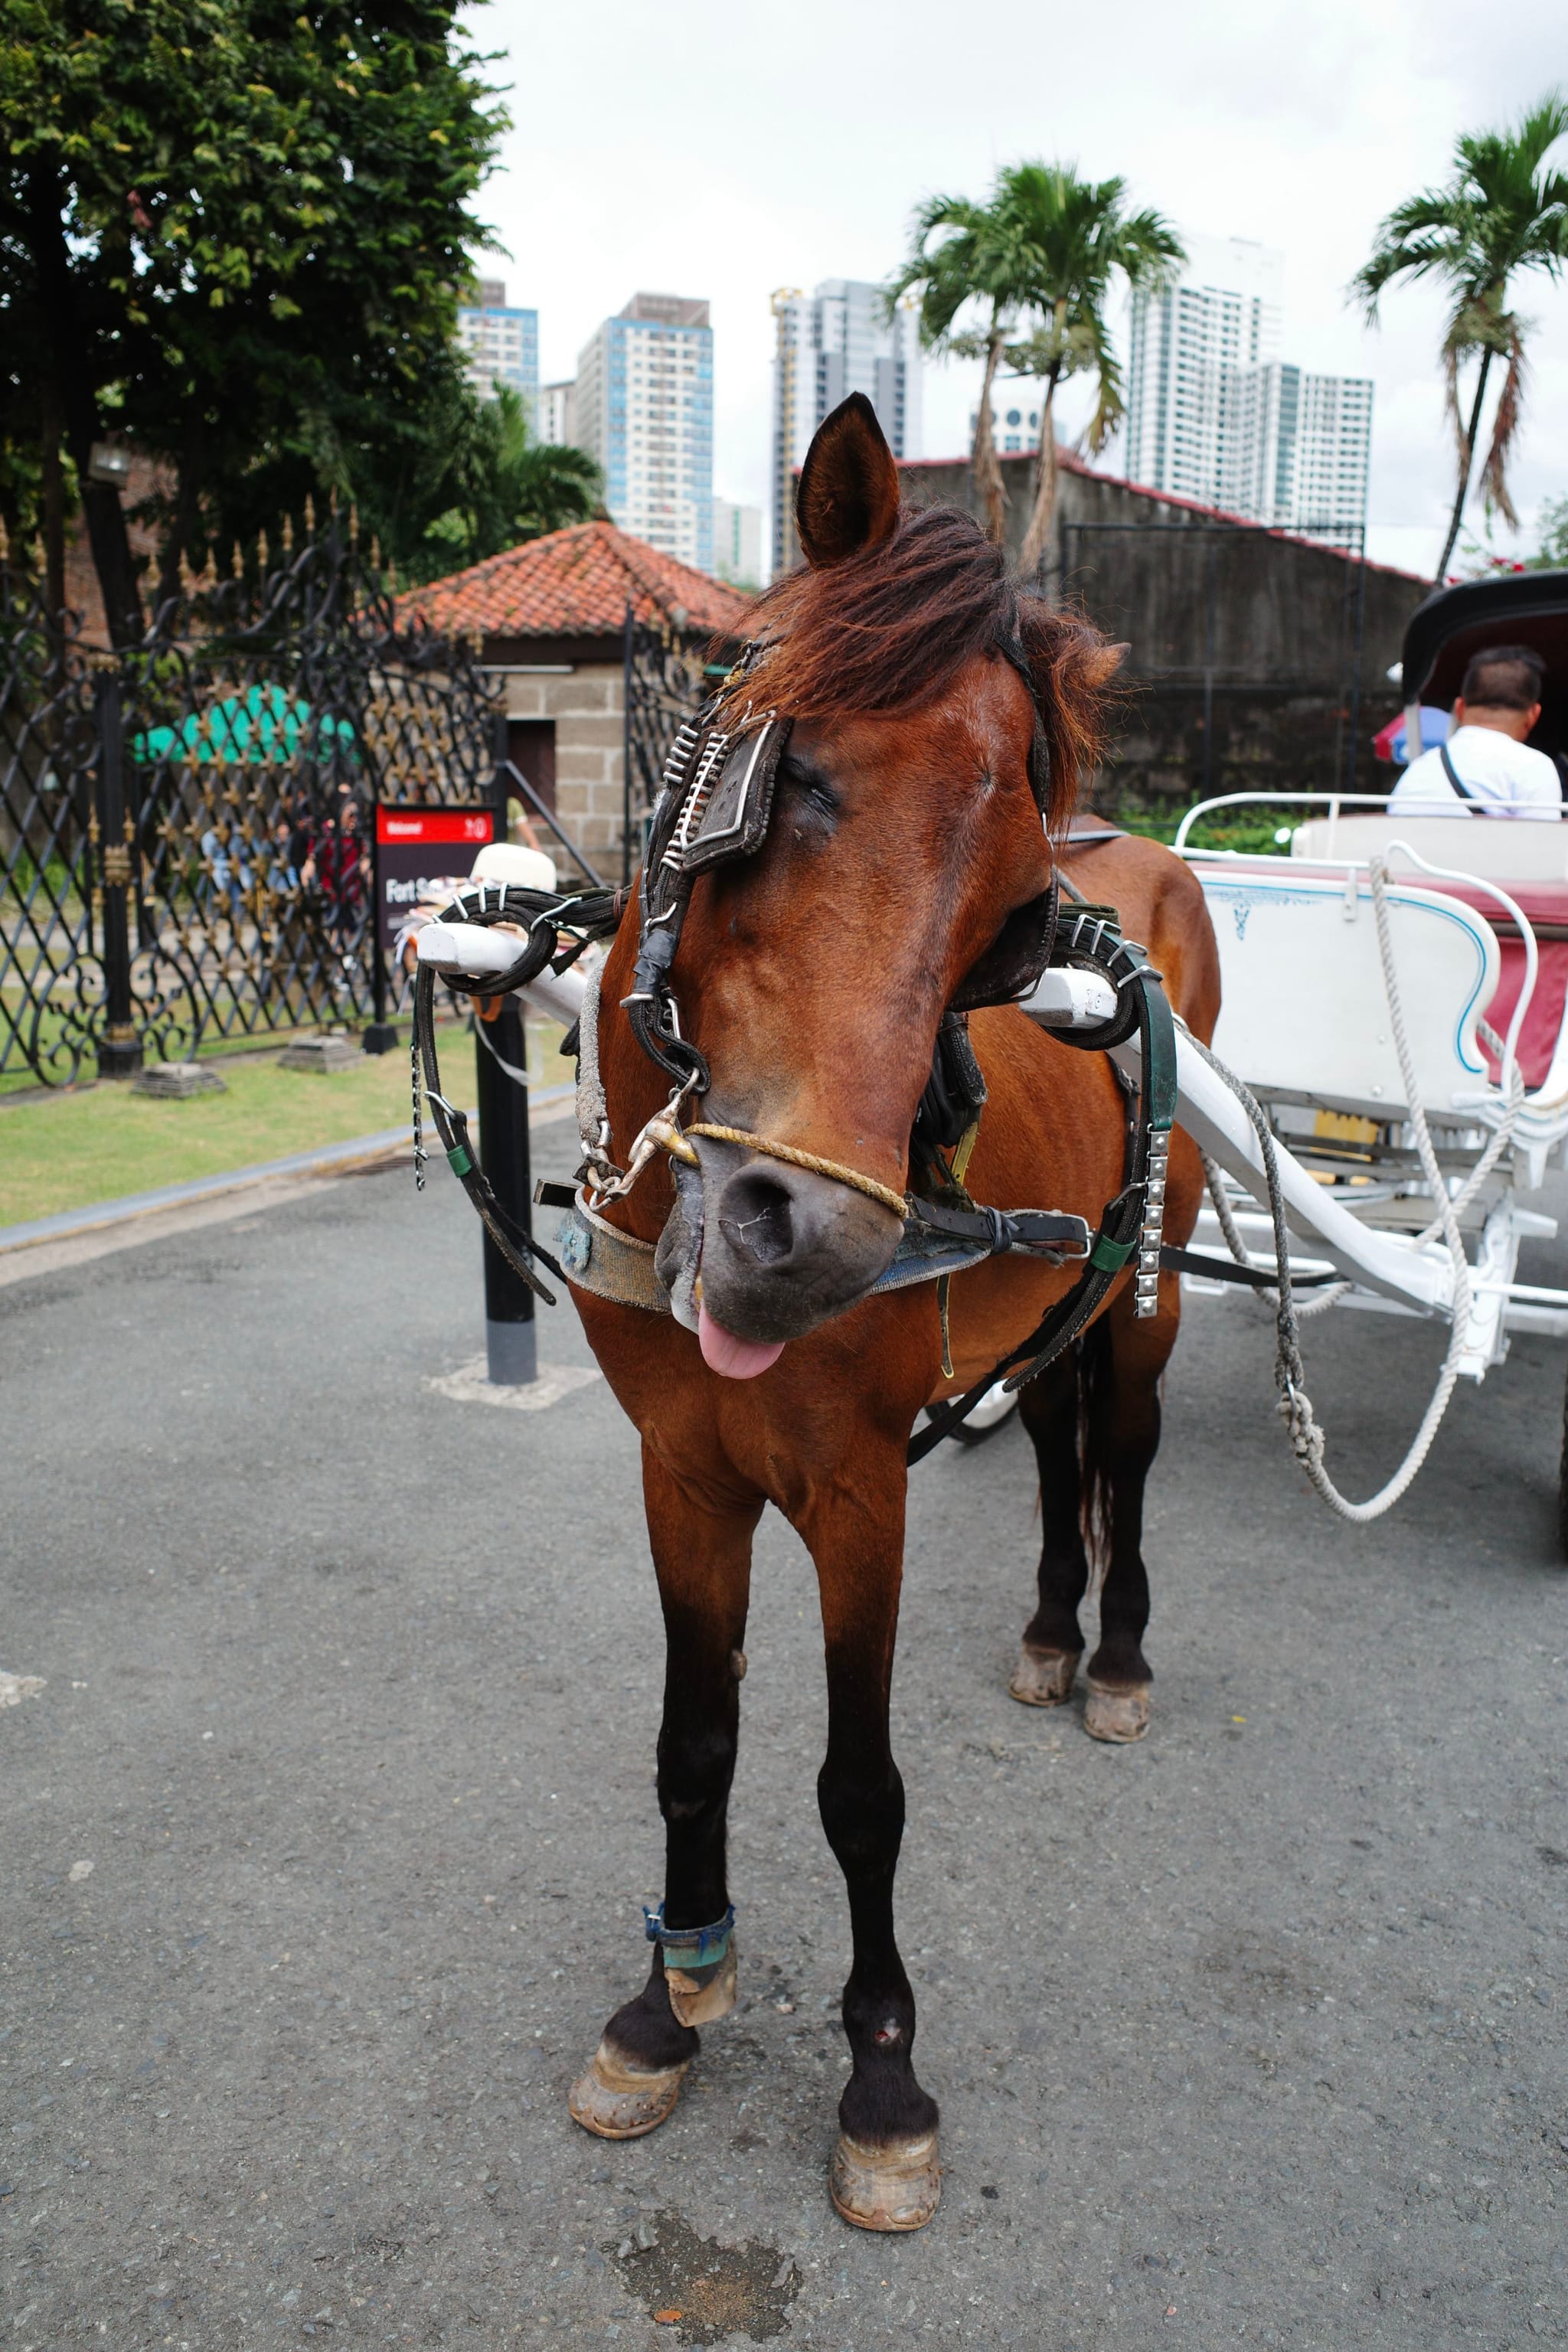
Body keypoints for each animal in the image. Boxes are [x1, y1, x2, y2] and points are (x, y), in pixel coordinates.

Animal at [561, 393, 1221, 2231]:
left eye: (1005, 913)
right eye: (788, 782)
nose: (810, 1241)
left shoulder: (856, 1490)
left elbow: (858, 1789)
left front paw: (879, 2073)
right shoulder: (682, 1470)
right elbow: (693, 1734)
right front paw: (668, 1997)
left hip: (1146, 1293)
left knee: (1123, 1447)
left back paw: (1114, 1650)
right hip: (1043, 1305)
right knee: (1057, 1430)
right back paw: (1053, 1628)